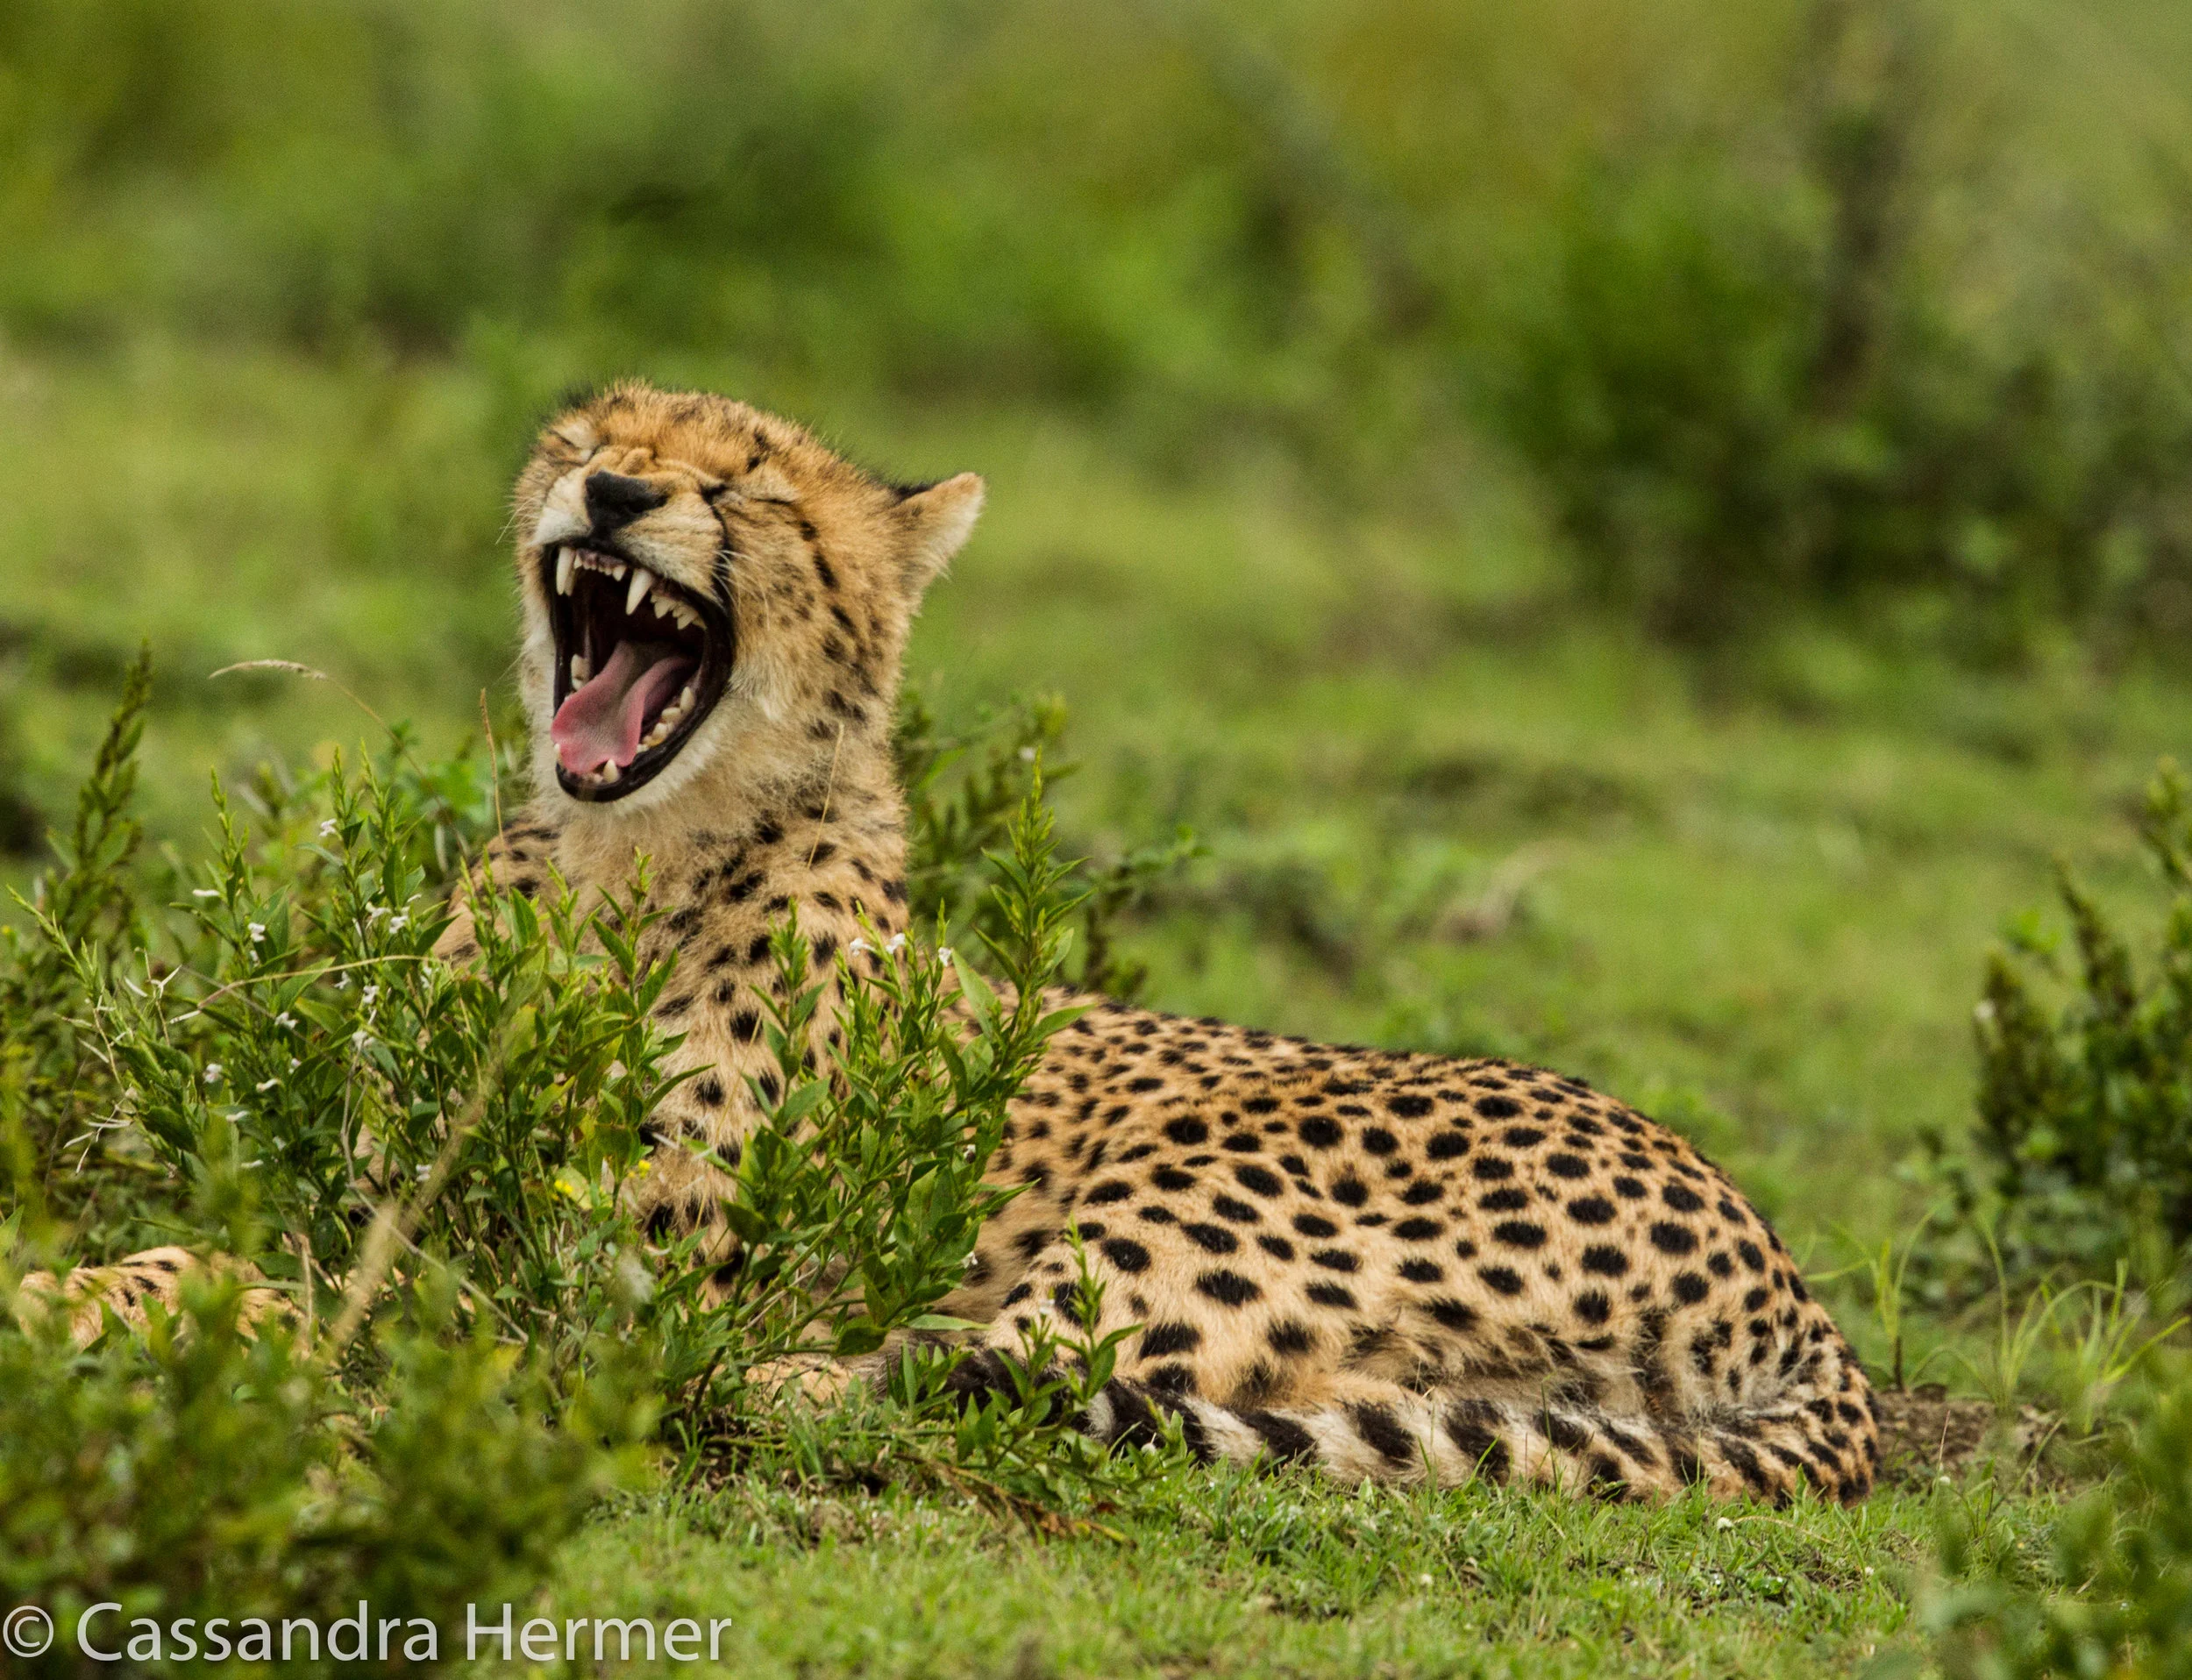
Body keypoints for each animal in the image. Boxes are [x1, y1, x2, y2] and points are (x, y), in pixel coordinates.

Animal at [41, 381, 1879, 1505]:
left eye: (745, 488)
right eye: (590, 435)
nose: (615, 491)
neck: (621, 866)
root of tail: (1786, 1269)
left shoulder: (587, 1265)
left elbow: (319, 1292)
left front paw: (107, 1312)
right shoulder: (395, 1187)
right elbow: (237, 1246)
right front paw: (81, 1283)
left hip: (1196, 1200)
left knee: (979, 1367)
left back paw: (757, 1388)